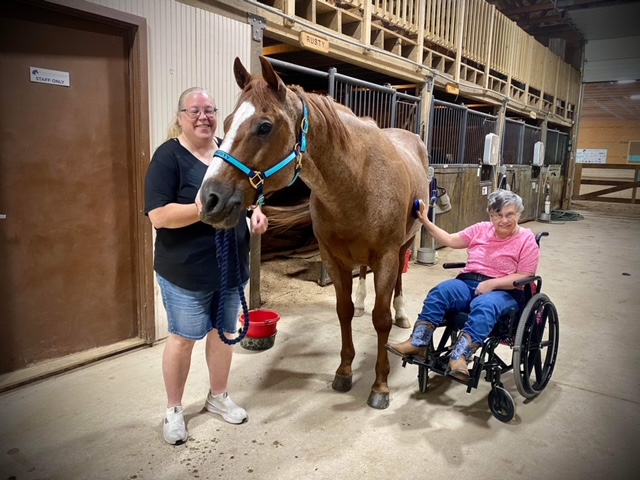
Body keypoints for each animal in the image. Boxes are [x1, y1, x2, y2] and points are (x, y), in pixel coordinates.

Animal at [200, 57, 430, 408]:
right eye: (226, 122)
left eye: (264, 126)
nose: (210, 199)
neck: (357, 181)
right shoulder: (333, 258)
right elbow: (343, 312)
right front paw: (344, 371)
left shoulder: (388, 256)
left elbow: (381, 319)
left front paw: (380, 386)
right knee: (363, 276)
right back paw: (362, 302)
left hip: (404, 244)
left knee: (398, 284)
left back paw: (402, 313)